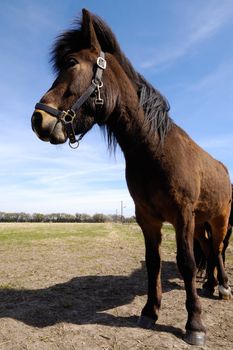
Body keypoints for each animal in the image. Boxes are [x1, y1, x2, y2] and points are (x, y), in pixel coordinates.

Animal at [30, 9, 231, 346]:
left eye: (71, 63)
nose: (38, 119)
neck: (155, 150)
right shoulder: (146, 218)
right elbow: (153, 263)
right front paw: (150, 312)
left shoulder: (183, 217)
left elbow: (187, 263)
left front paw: (195, 324)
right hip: (203, 221)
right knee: (208, 251)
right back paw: (210, 285)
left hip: (219, 219)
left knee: (216, 251)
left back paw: (223, 286)